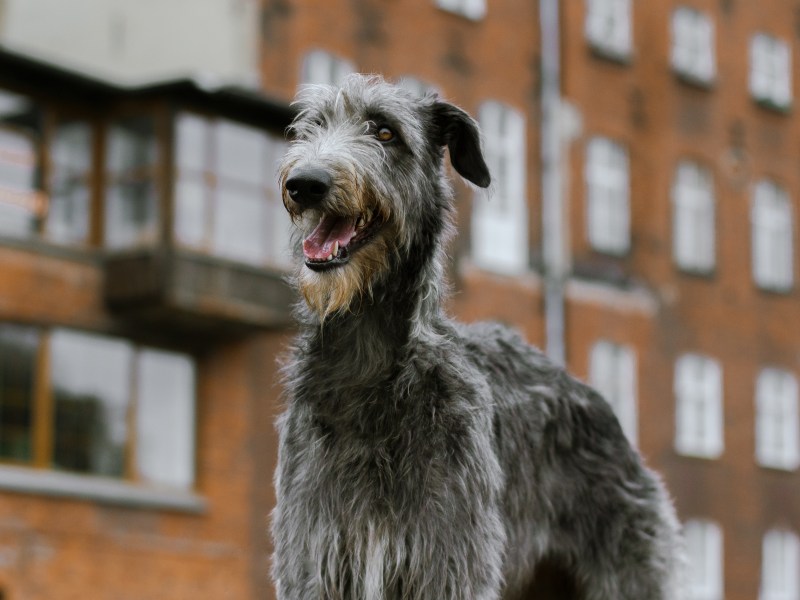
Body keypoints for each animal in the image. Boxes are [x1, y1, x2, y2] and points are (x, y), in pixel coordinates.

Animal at [270, 75, 680, 600]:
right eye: (311, 128)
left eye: (384, 131)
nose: (305, 183)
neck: (367, 366)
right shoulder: (313, 558)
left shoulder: (448, 558)